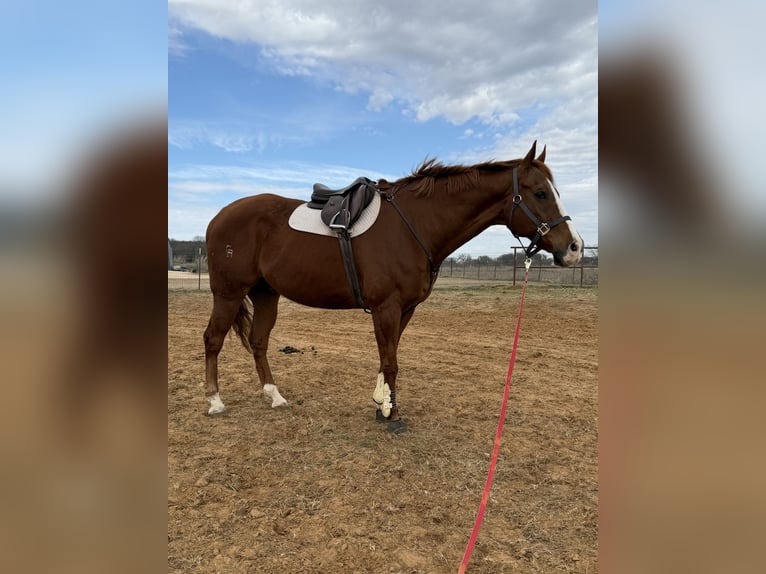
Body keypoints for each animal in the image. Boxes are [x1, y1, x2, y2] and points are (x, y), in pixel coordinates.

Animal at [203, 141, 583, 433]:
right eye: (540, 193)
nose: (575, 247)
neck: (414, 224)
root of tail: (219, 216)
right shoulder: (385, 307)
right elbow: (391, 361)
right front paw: (392, 413)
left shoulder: (405, 309)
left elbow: (389, 355)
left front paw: (381, 402)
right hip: (228, 292)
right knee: (213, 339)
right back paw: (215, 401)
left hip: (265, 293)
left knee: (258, 341)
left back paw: (274, 395)